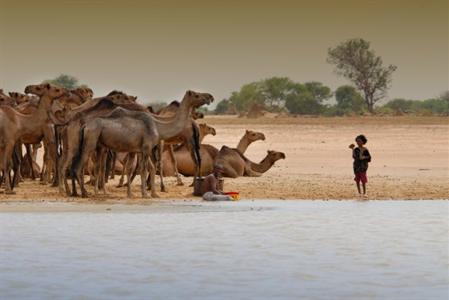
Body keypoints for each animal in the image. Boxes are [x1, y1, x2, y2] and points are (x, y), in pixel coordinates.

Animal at [72, 90, 214, 198]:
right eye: (196, 95)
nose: (210, 97)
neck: (158, 126)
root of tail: (85, 126)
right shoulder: (146, 148)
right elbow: (144, 169)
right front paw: (145, 193)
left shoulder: (139, 149)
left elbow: (139, 168)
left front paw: (137, 193)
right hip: (90, 143)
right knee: (79, 166)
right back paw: (85, 193)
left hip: (99, 146)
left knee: (95, 166)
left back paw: (97, 192)